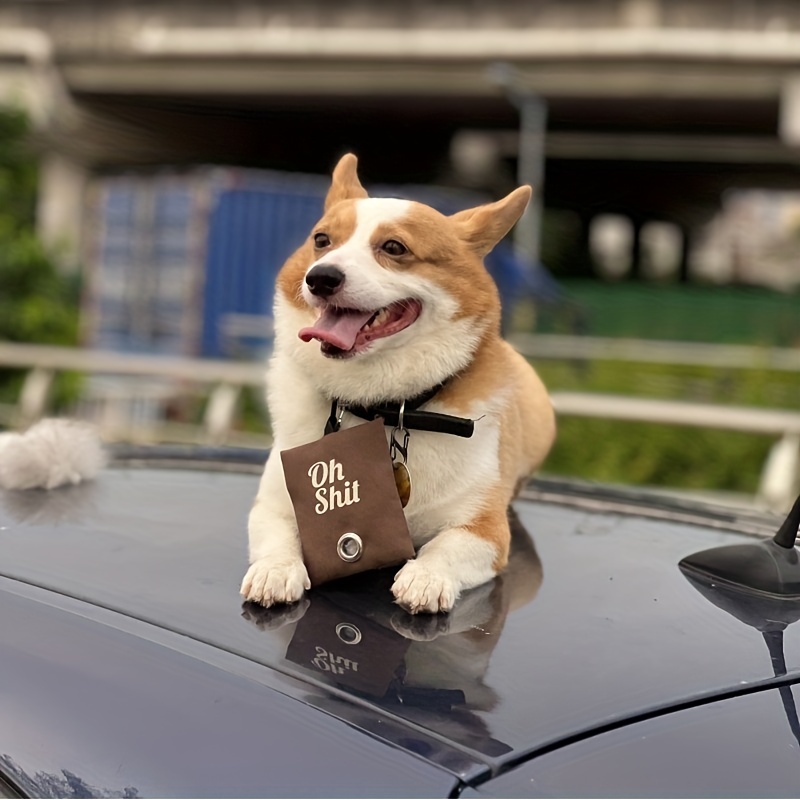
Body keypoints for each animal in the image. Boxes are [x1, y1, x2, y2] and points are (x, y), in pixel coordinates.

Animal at [242, 158, 556, 620]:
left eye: (394, 248)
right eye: (321, 240)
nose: (320, 278)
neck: (384, 405)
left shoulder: (485, 531)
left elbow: (446, 547)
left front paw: (425, 577)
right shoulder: (273, 504)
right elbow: (276, 534)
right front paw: (275, 570)